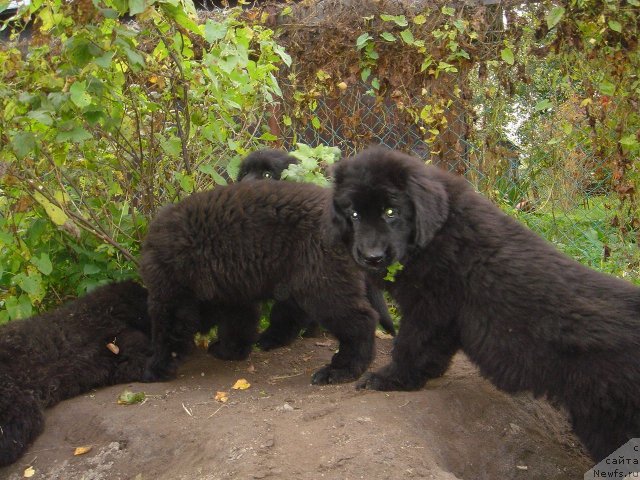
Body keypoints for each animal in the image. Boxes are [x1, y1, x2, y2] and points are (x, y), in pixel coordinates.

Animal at [140, 180, 378, 386]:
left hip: (322, 282)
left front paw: (154, 368)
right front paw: (231, 350)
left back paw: (341, 369)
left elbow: (168, 331)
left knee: (360, 321)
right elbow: (238, 321)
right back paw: (271, 338)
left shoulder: (171, 289)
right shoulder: (232, 288)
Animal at [330, 146, 640, 462]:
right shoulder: (443, 317)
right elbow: (430, 351)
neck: (437, 233)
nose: (371, 257)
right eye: (354, 214)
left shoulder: (429, 308)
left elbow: (410, 345)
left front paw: (389, 379)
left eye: (390, 212)